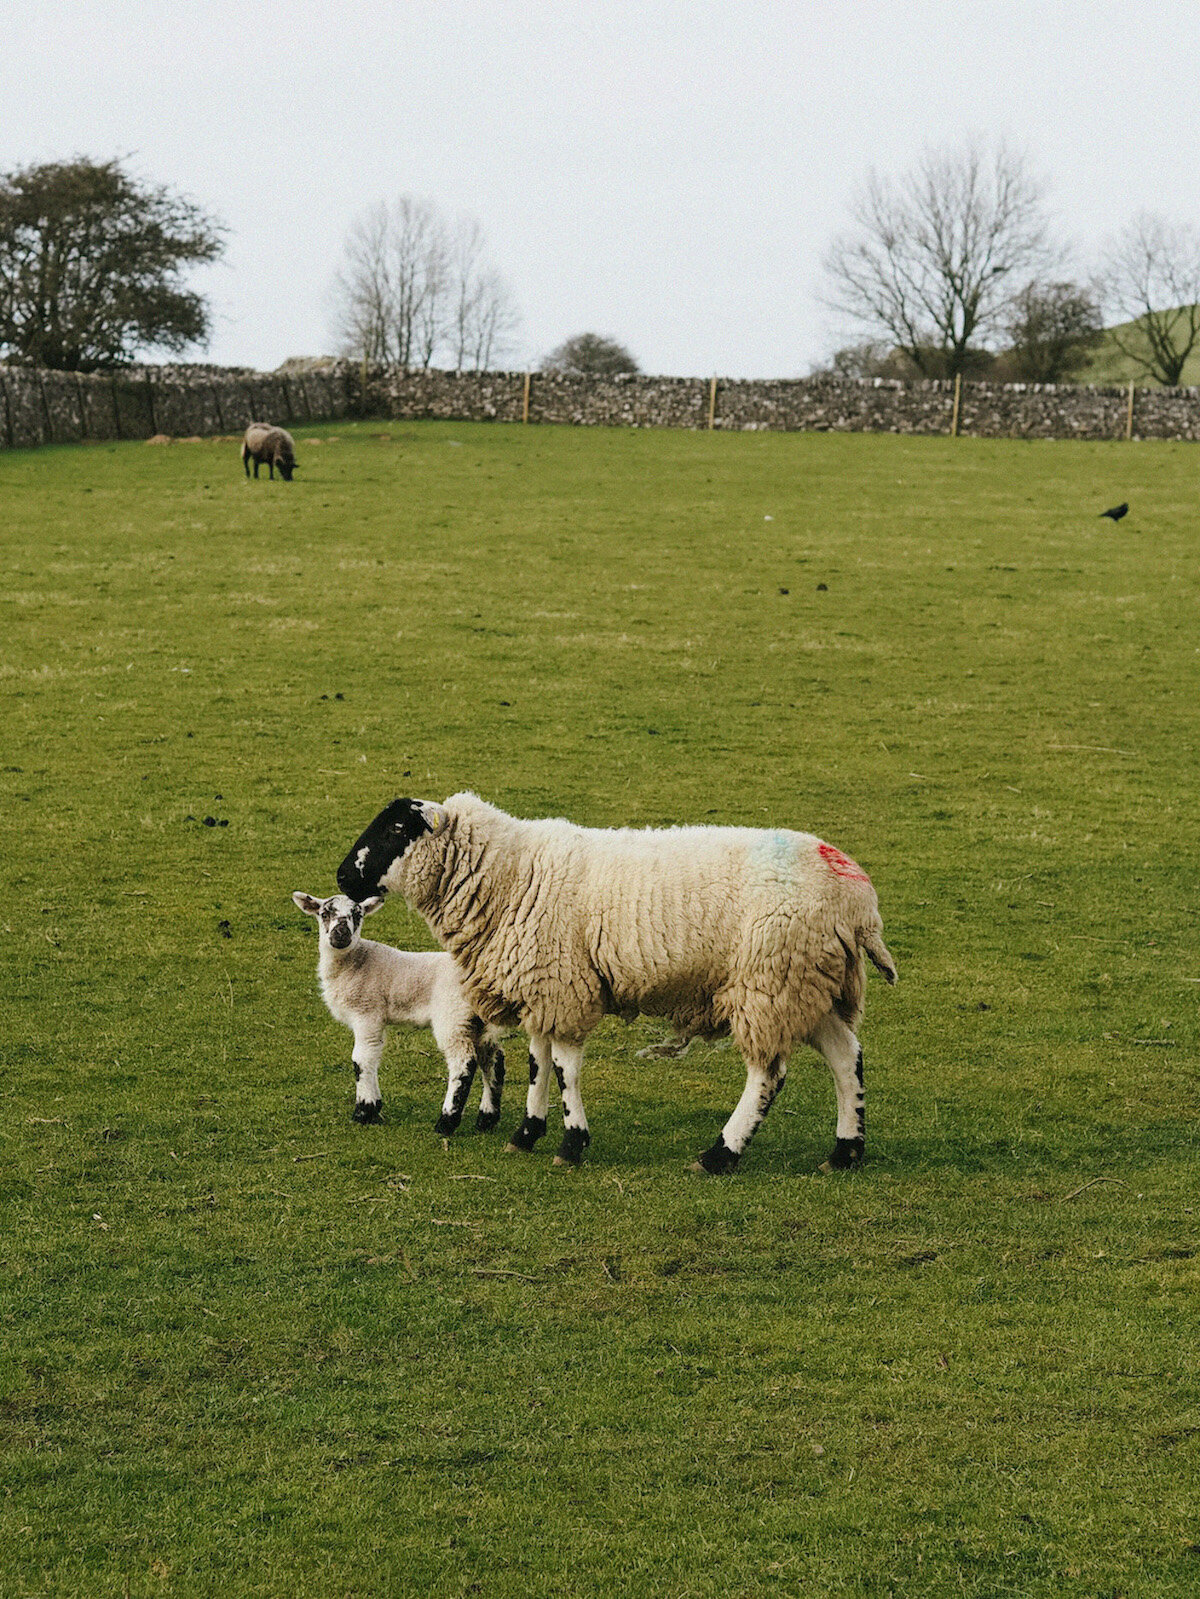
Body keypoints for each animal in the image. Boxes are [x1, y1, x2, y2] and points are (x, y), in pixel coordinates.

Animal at [294, 889, 505, 1138]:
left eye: (358, 915)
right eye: (324, 913)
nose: (341, 934)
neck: (354, 962)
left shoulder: (367, 1012)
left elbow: (361, 1059)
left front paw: (363, 1111)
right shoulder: (375, 1019)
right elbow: (372, 1057)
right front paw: (374, 1106)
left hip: (452, 1015)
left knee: (463, 1063)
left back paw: (446, 1122)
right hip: (479, 1022)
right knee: (493, 1061)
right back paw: (487, 1119)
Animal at [334, 789, 896, 1176]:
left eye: (396, 829)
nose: (342, 877)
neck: (509, 874)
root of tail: (859, 899)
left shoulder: (563, 983)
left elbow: (564, 1068)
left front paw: (571, 1143)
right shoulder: (544, 984)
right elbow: (538, 1062)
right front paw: (526, 1133)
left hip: (770, 979)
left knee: (768, 1075)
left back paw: (720, 1154)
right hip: (809, 982)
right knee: (846, 1056)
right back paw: (845, 1151)